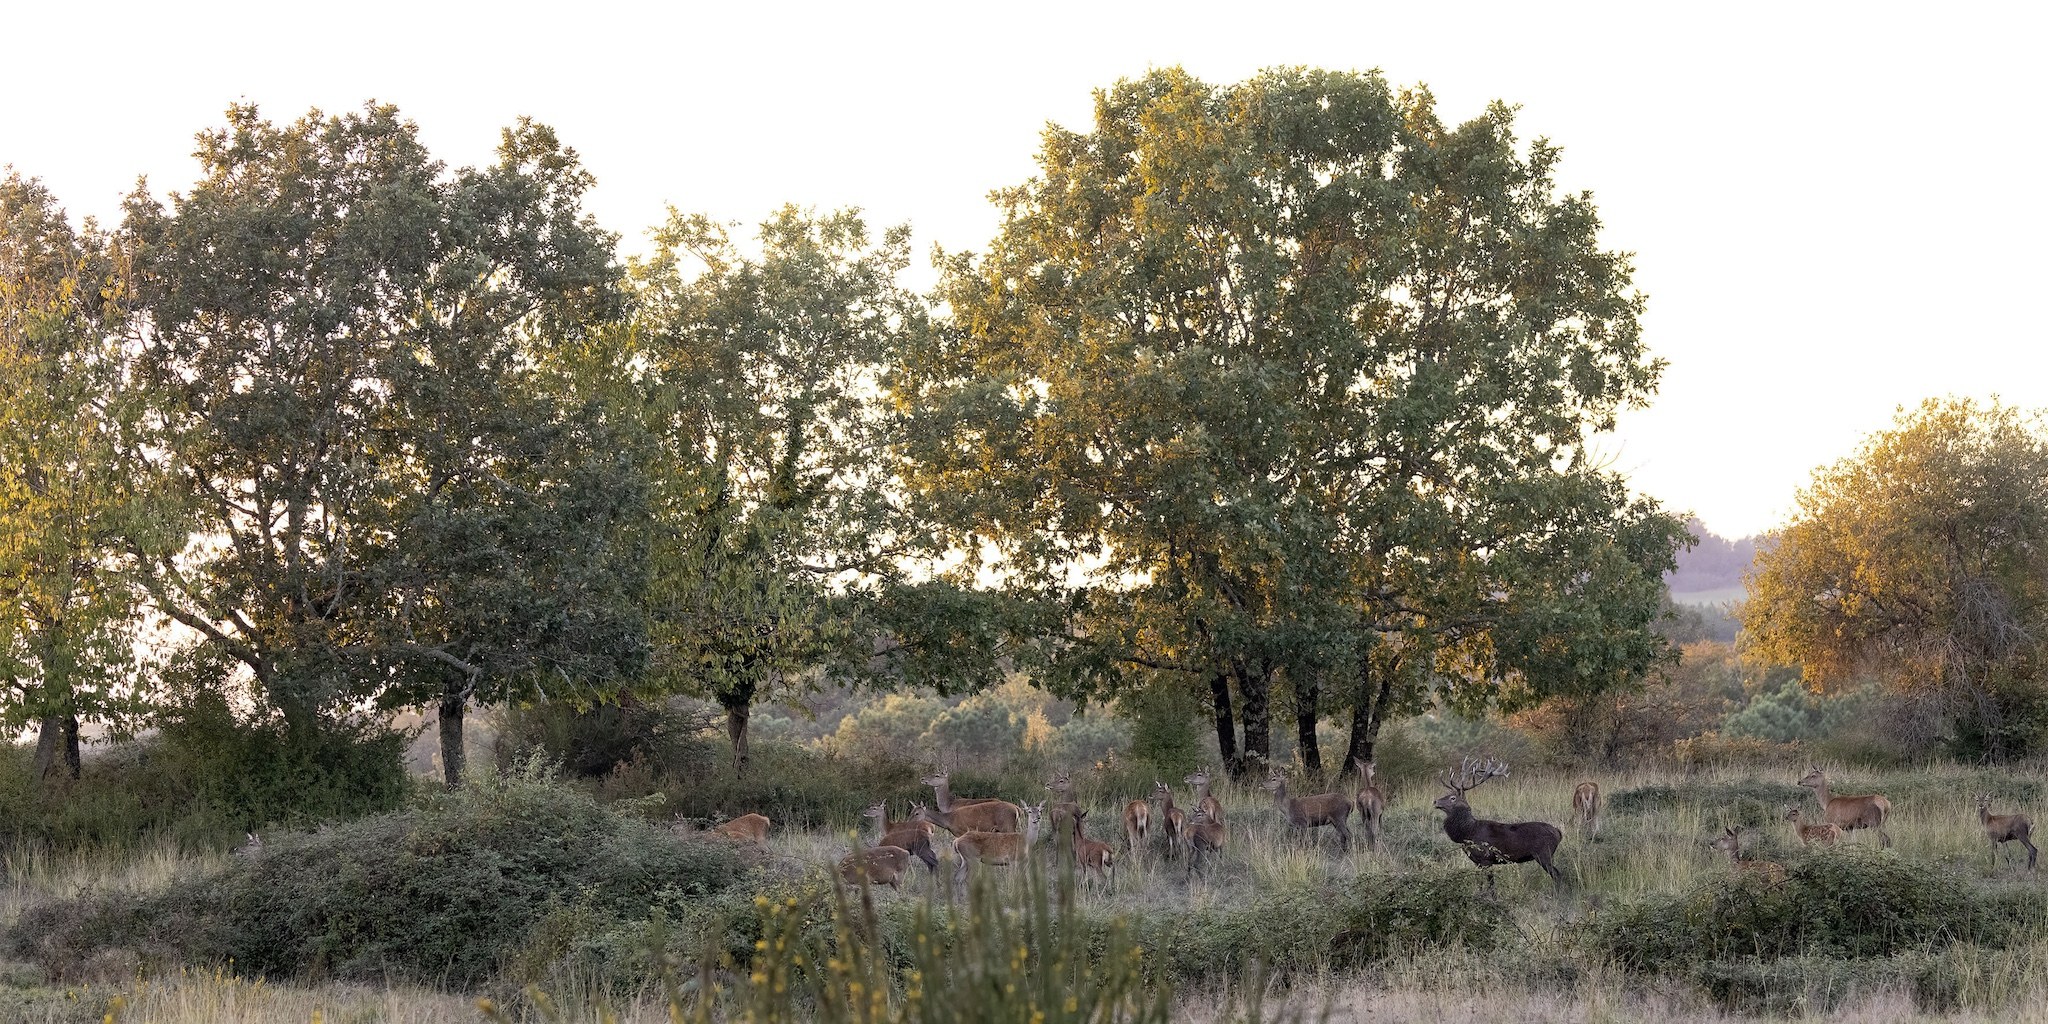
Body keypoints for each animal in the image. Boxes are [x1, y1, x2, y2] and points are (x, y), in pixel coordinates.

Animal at [1433, 757, 1564, 890]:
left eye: (1452, 798)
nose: (1435, 801)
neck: (1468, 833)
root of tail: (1558, 833)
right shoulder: (1477, 862)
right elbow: (1481, 884)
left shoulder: (1486, 859)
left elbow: (1491, 886)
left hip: (1544, 854)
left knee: (1557, 874)